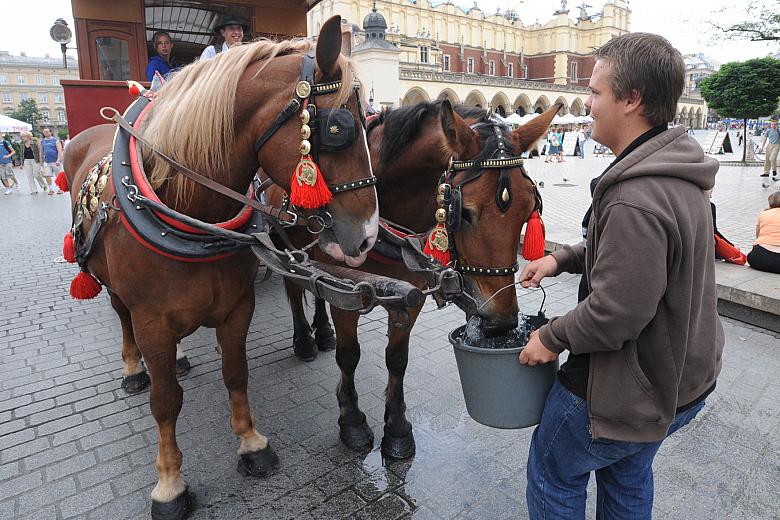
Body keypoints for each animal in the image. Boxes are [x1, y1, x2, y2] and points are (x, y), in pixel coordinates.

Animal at [61, 17, 378, 520]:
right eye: (338, 127)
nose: (367, 236)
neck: (190, 211)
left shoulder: (236, 308)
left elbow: (236, 372)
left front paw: (251, 444)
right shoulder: (153, 321)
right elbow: (166, 401)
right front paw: (170, 484)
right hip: (112, 287)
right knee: (122, 317)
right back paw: (133, 367)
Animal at [266, 99, 564, 458]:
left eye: (529, 209)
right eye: (464, 212)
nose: (502, 322)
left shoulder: (410, 298)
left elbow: (397, 359)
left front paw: (396, 428)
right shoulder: (346, 292)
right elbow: (349, 355)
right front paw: (351, 421)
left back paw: (322, 331)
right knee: (295, 288)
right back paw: (305, 340)